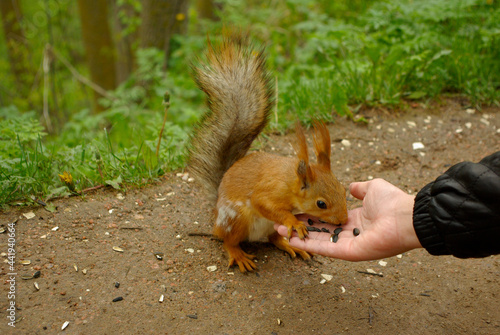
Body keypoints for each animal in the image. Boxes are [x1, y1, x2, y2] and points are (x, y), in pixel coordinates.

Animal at [188, 30, 348, 272]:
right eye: (321, 203)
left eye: (342, 188)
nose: (344, 220)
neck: (291, 182)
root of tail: (216, 214)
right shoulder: (269, 191)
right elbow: (263, 203)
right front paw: (293, 221)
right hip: (236, 219)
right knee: (228, 241)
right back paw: (238, 254)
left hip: (269, 227)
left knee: (274, 238)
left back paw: (290, 245)